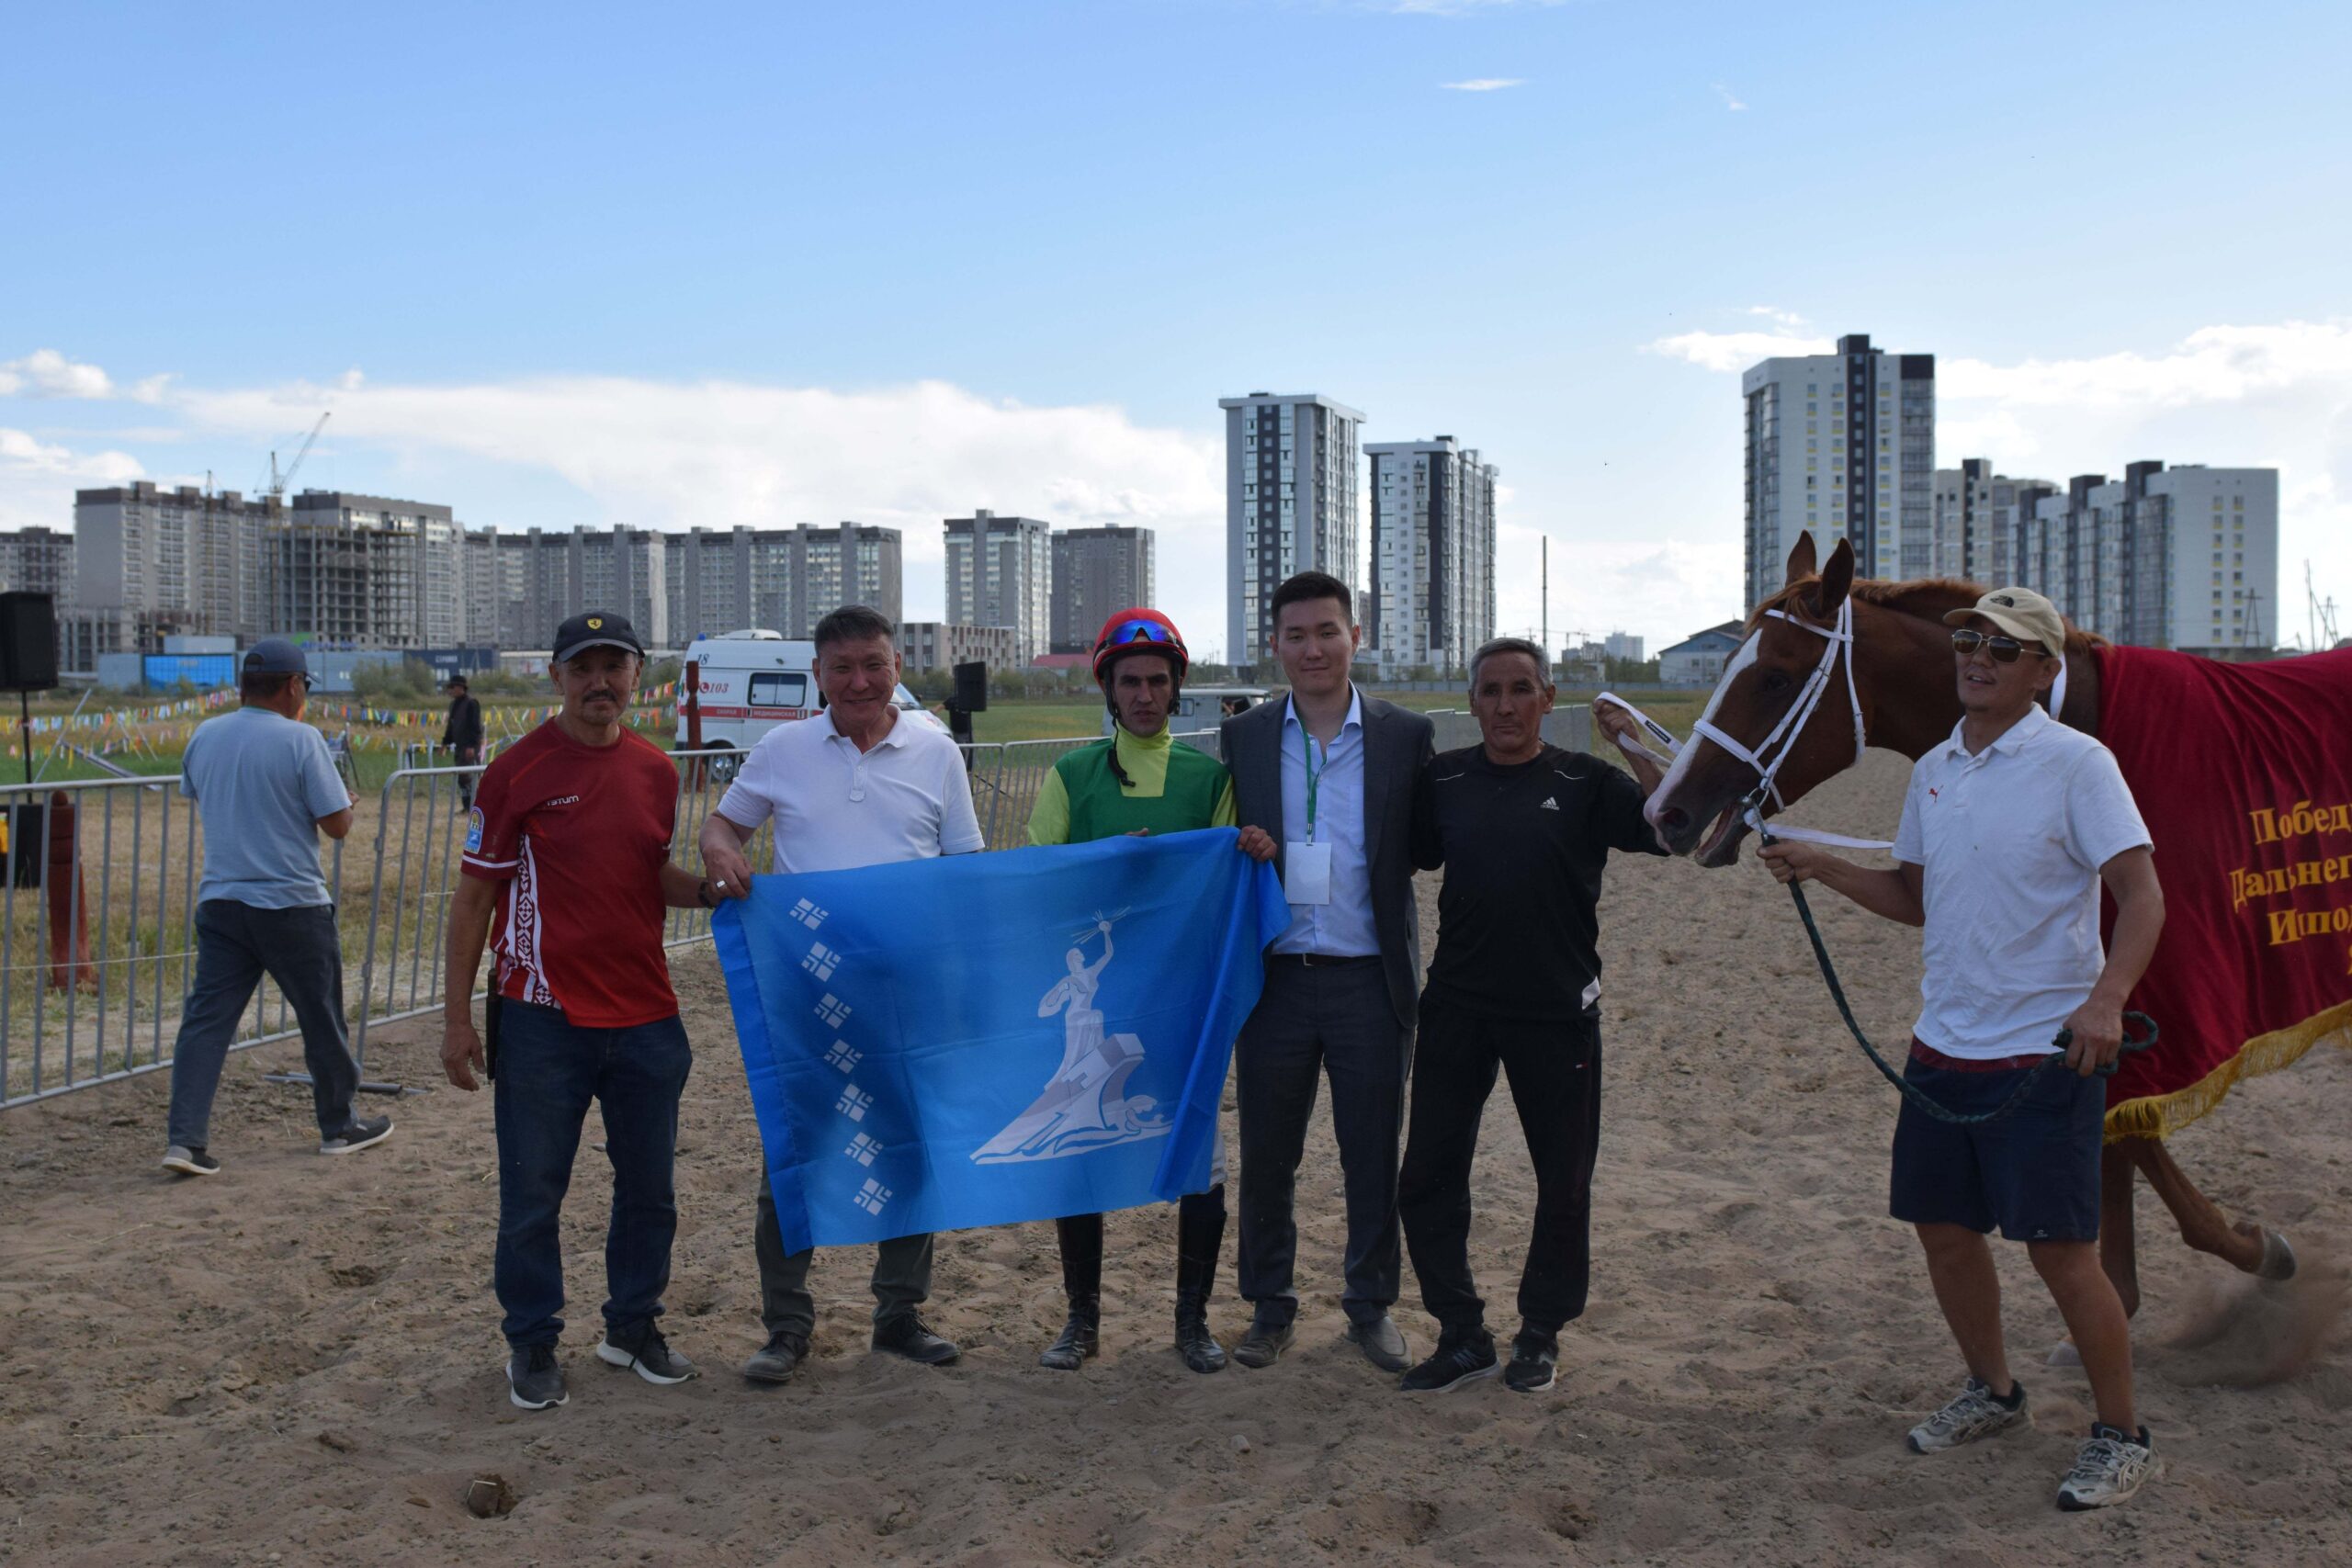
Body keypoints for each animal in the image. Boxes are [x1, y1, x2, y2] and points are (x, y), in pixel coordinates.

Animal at [1643, 530, 2346, 1317]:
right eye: (1725, 665)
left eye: (1773, 677)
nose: (1666, 811)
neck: (2078, 724)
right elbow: (2119, 1127)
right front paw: (2131, 1283)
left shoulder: (2129, 986)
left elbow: (2124, 1123)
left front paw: (2248, 1250)